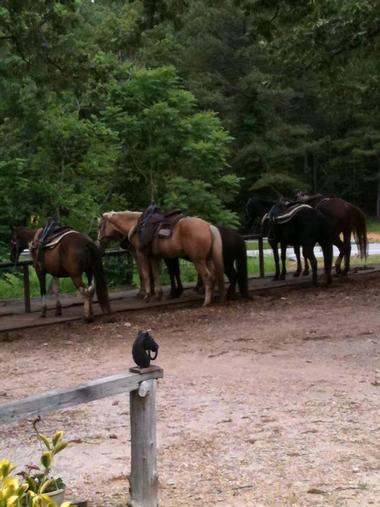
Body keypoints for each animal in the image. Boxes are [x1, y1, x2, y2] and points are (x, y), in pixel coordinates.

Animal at [96, 210, 226, 306]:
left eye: (100, 226)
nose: (98, 243)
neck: (135, 226)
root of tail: (208, 225)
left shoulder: (141, 254)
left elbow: (145, 274)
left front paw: (147, 295)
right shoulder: (154, 256)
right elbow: (156, 274)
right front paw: (158, 295)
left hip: (198, 260)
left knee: (208, 277)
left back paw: (206, 301)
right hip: (207, 259)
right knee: (213, 276)